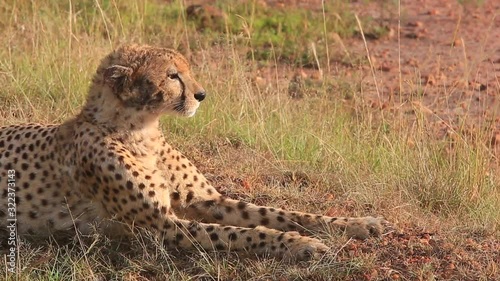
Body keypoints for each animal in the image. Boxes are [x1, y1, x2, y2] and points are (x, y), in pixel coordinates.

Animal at [0, 43, 384, 260]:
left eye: (186, 70)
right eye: (173, 76)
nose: (201, 95)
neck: (140, 130)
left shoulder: (206, 200)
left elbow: (275, 212)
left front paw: (357, 223)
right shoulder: (157, 226)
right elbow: (242, 233)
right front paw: (298, 244)